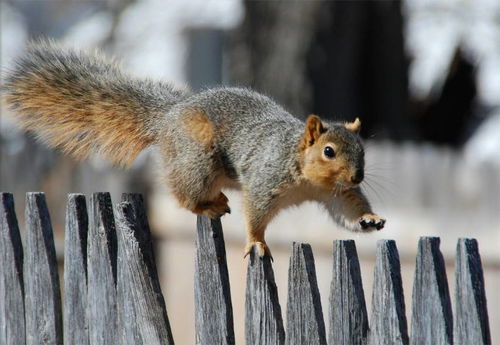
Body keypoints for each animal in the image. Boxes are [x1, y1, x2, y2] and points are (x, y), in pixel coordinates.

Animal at [1, 39, 384, 255]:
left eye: (362, 150)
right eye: (328, 151)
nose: (357, 176)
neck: (305, 175)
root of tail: (168, 116)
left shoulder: (335, 194)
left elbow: (347, 210)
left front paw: (369, 218)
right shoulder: (265, 180)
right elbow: (255, 215)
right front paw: (257, 243)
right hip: (197, 159)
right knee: (183, 196)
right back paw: (208, 205)